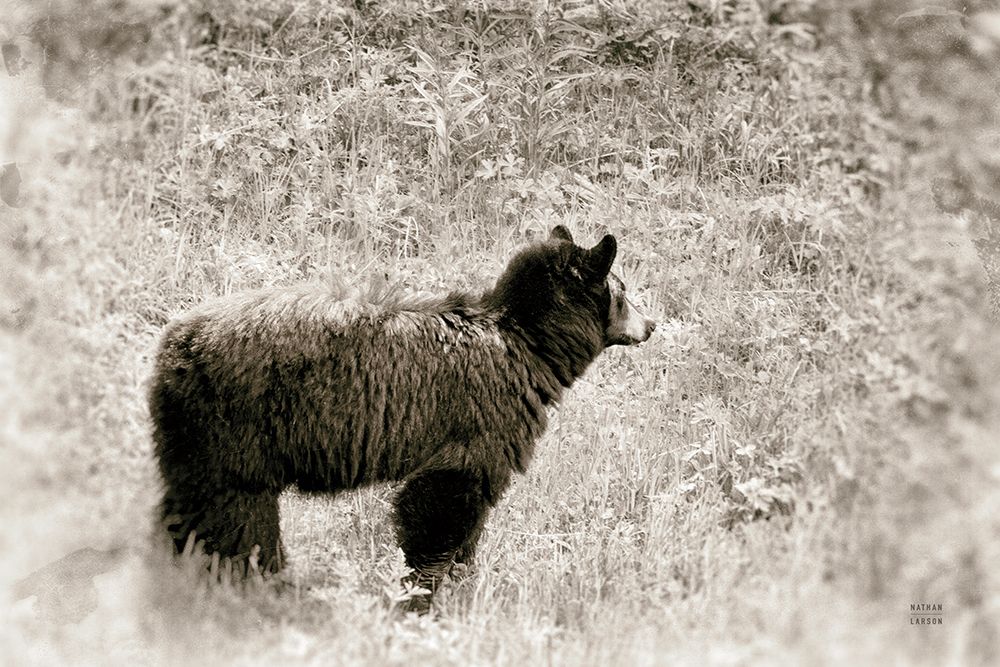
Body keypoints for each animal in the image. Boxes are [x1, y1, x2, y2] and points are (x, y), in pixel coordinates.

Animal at [145, 228, 652, 612]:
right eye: (623, 292)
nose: (650, 325)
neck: (528, 342)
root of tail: (175, 345)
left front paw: (460, 580)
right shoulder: (480, 416)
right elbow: (444, 496)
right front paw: (424, 592)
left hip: (191, 436)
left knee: (189, 503)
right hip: (237, 429)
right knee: (239, 514)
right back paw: (258, 584)